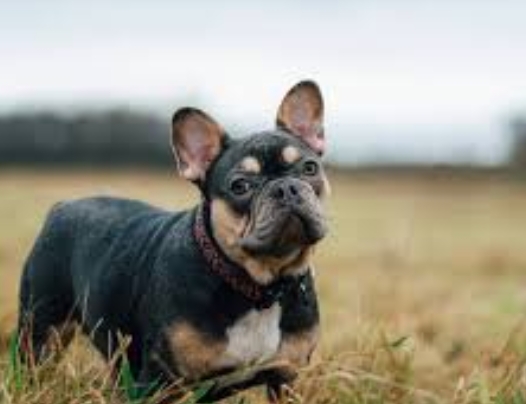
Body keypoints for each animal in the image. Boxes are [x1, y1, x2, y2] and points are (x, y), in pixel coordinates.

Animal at [17, 79, 330, 400]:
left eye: (310, 168)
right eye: (240, 185)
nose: (286, 187)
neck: (259, 289)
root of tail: (63, 206)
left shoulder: (284, 379)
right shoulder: (159, 381)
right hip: (42, 328)